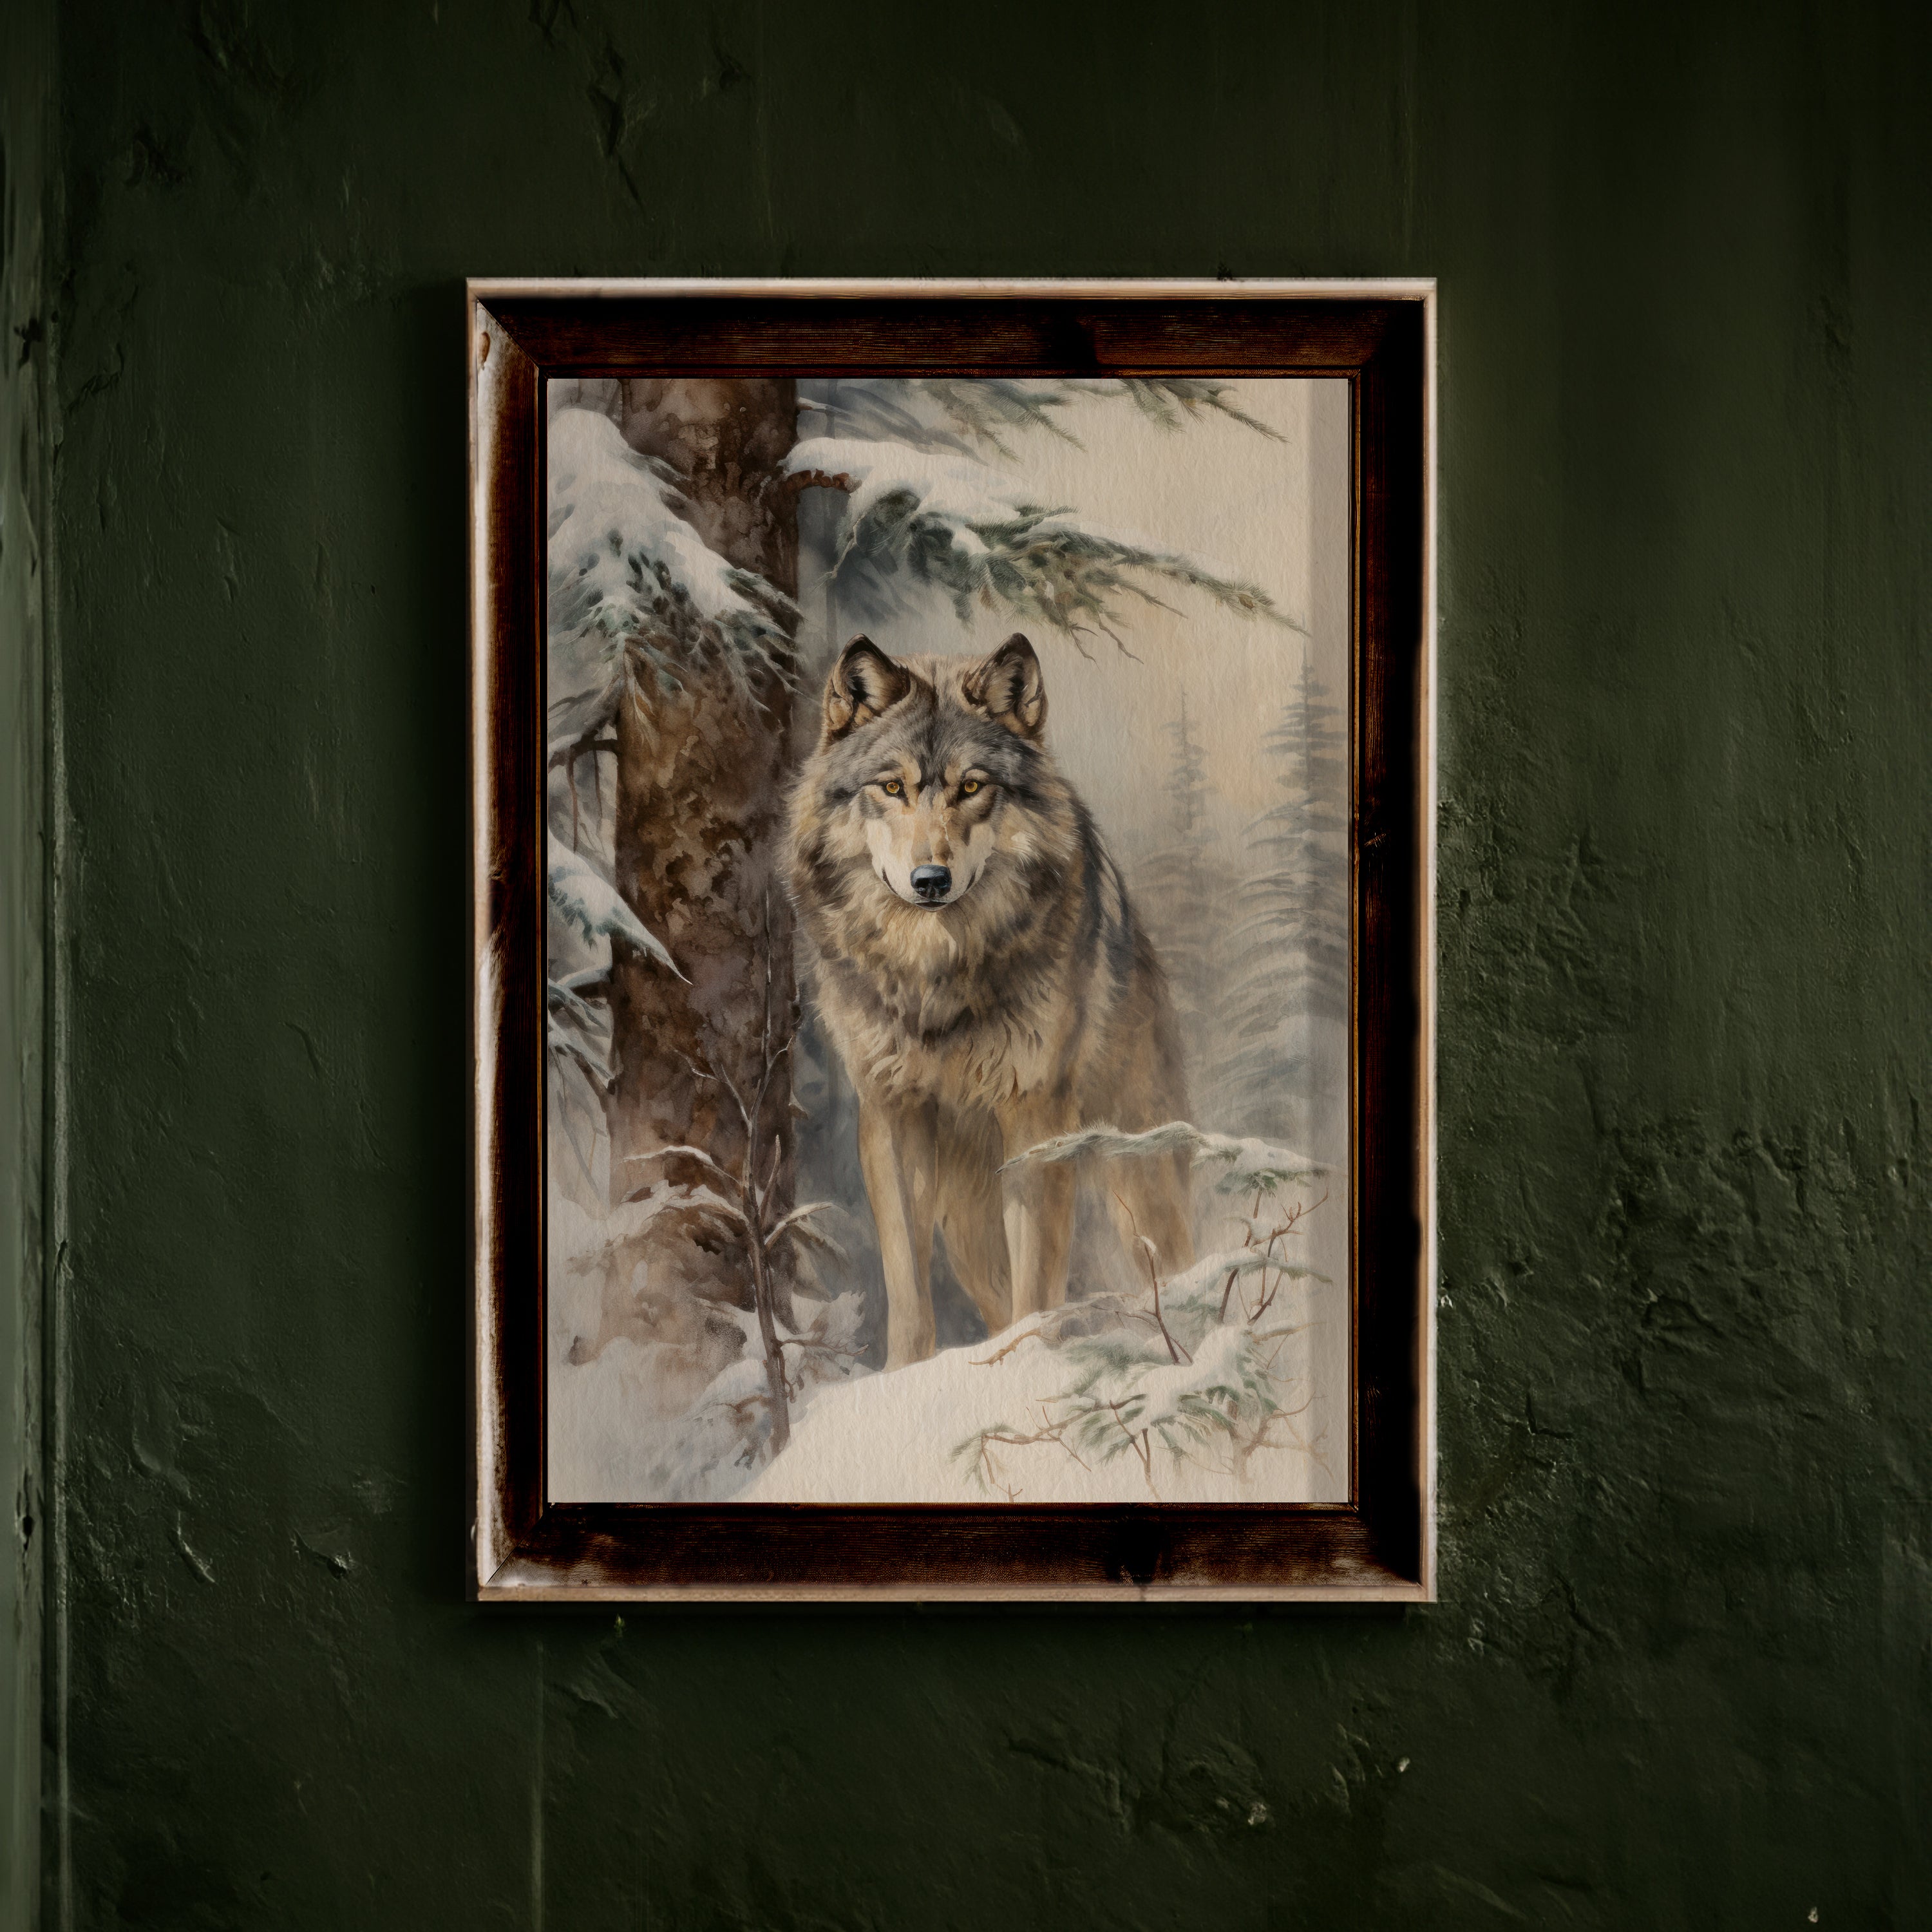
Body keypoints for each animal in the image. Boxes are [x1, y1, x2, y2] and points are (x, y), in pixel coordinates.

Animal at [785, 631, 1195, 1369]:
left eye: (972, 787)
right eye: (892, 787)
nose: (930, 879)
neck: (936, 976)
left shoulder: (1036, 1115)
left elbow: (1039, 1281)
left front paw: (1032, 1368)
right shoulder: (892, 1116)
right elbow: (907, 1287)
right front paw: (904, 1378)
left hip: (1140, 1173)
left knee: (1177, 1263)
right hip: (967, 1228)